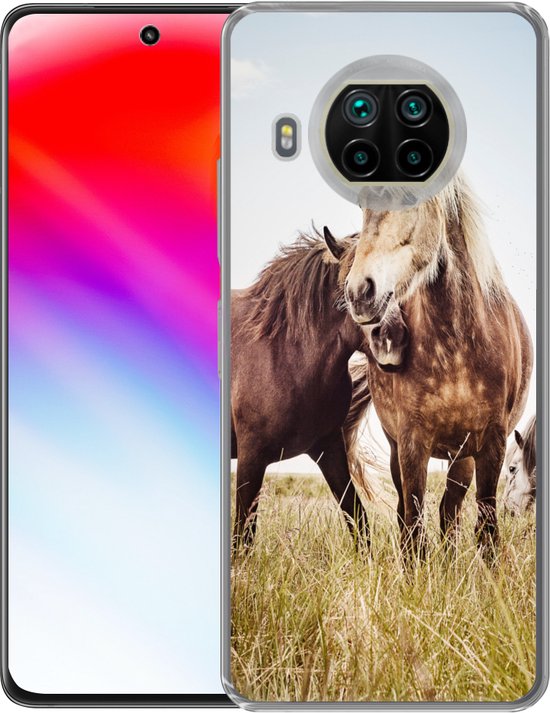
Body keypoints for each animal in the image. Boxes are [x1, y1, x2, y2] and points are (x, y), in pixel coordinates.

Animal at [231, 230, 408, 547]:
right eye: (352, 287)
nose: (393, 338)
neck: (284, 352)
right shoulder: (250, 456)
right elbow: (243, 535)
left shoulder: (329, 448)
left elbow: (358, 519)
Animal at [329, 174, 533, 556]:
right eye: (362, 204)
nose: (360, 292)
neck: (455, 348)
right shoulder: (412, 444)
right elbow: (412, 525)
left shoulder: (491, 444)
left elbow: (486, 527)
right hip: (402, 450)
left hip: (462, 456)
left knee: (449, 512)